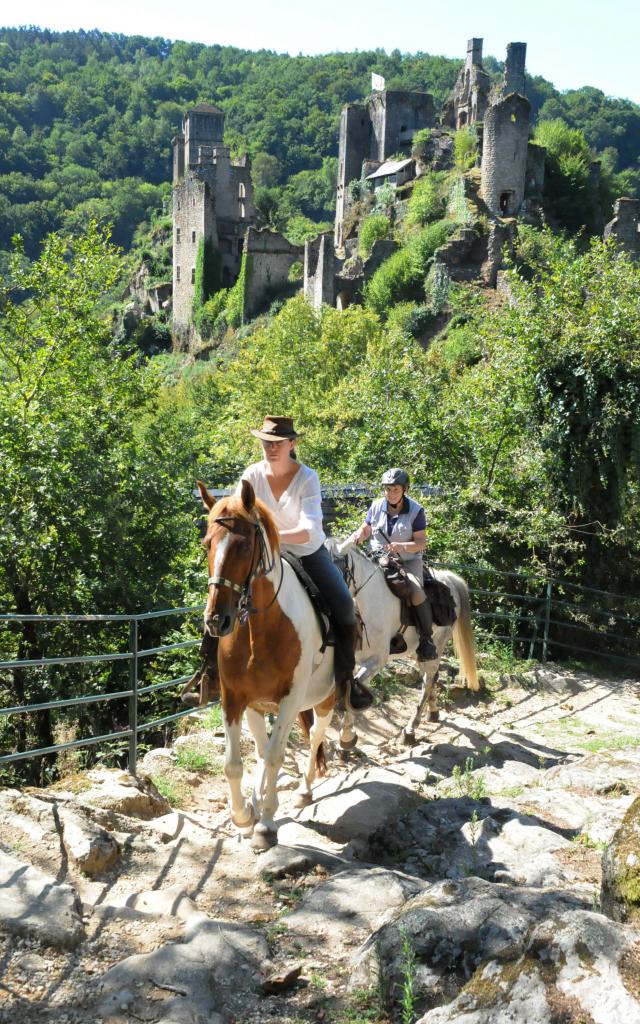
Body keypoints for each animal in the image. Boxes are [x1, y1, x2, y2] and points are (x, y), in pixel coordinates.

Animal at [331, 544, 477, 745]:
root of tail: (449, 578)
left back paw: (410, 729)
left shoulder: (376, 660)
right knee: (432, 678)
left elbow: (353, 688)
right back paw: (433, 712)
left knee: (427, 682)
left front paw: (346, 738)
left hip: (435, 648)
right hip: (420, 653)